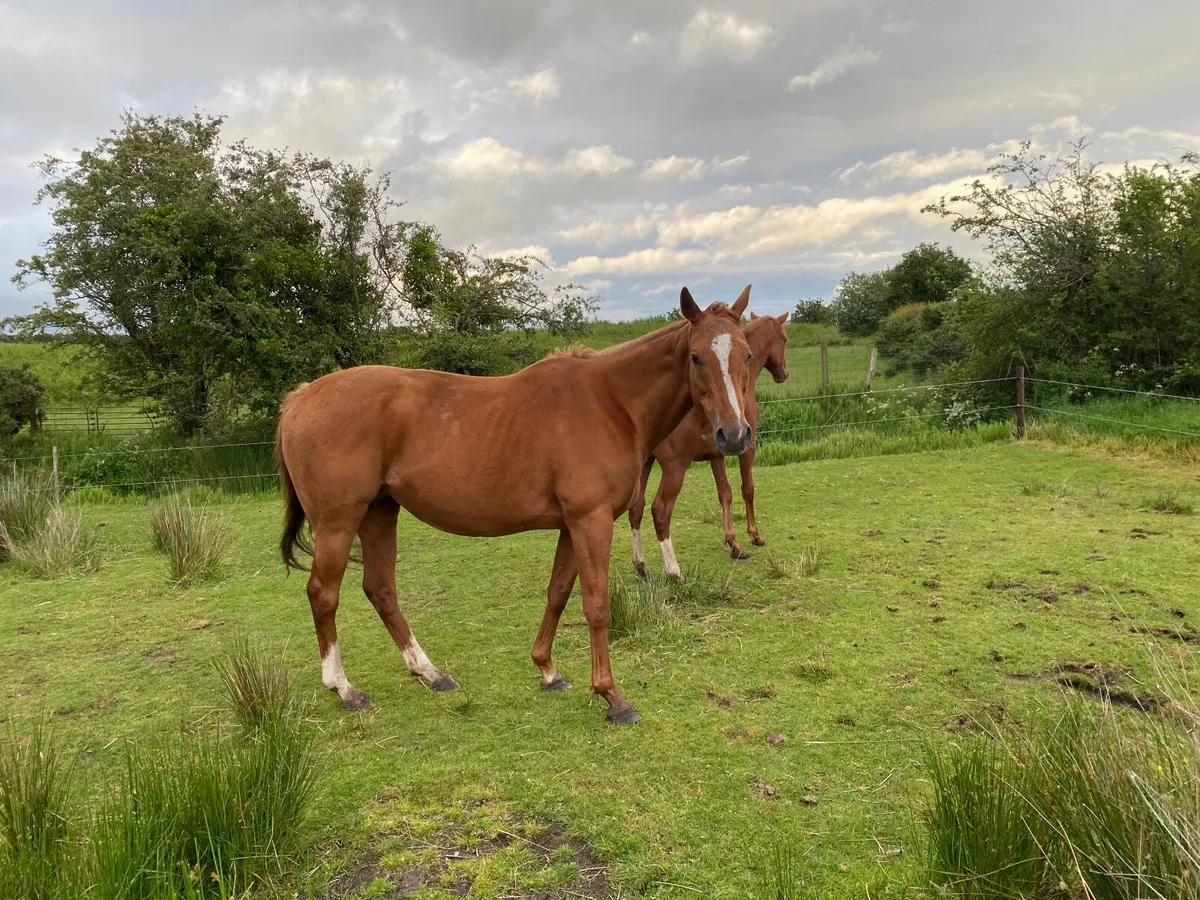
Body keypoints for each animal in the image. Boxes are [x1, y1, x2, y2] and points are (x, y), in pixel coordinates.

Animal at [274, 286, 757, 725]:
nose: (734, 435)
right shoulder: (592, 521)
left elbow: (558, 593)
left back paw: (430, 672)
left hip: (379, 511)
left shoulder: (572, 525)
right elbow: (596, 604)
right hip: (339, 522)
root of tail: (301, 398)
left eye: (747, 355)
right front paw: (611, 696)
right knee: (323, 594)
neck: (610, 403)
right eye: (696, 357)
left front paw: (547, 670)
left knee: (380, 589)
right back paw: (344, 688)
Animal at [627, 311, 790, 580]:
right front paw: (754, 535)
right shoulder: (747, 449)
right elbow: (747, 489)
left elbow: (725, 494)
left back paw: (641, 566)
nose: (784, 374)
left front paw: (734, 544)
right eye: (785, 339)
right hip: (674, 468)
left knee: (636, 508)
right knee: (659, 510)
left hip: (646, 465)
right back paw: (673, 571)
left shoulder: (717, 456)